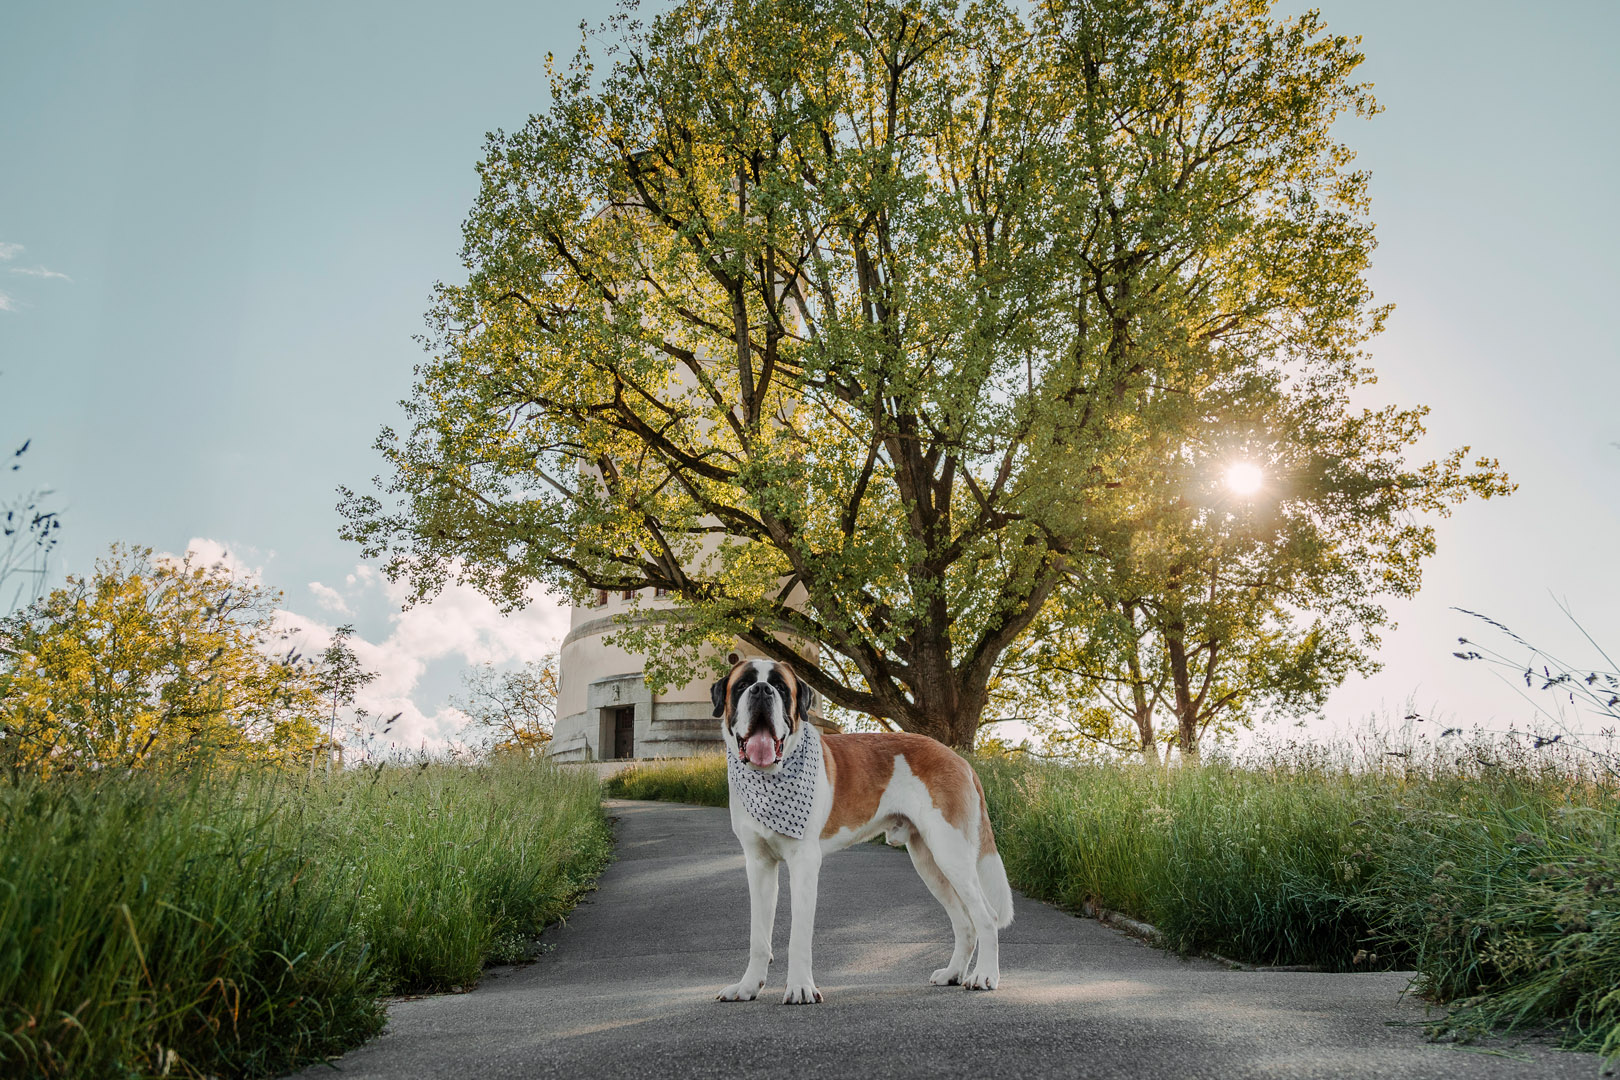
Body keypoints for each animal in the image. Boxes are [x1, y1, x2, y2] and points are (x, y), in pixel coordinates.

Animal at [712, 660, 1010, 1003]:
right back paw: (952, 974)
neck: (770, 778)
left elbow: (799, 935)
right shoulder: (758, 864)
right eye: (742, 685)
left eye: (781, 687)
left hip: (951, 854)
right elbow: (758, 936)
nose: (761, 690)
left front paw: (800, 988)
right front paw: (747, 987)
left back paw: (985, 976)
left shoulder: (804, 863)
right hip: (929, 863)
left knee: (986, 916)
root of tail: (959, 758)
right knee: (964, 922)